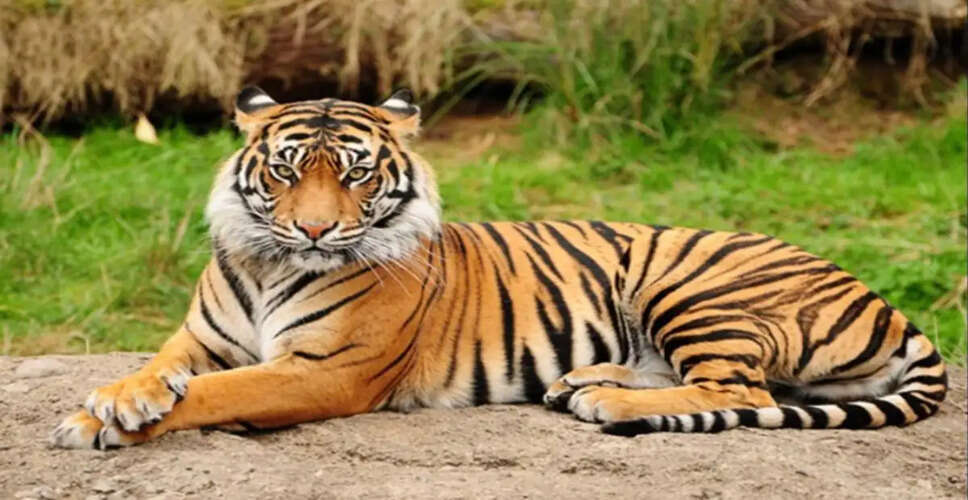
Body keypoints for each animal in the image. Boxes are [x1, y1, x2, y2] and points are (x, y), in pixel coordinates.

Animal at [51, 87, 947, 449]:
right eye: (285, 170)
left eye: (356, 174)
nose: (313, 229)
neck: (272, 264)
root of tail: (888, 303)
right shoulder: (202, 337)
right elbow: (159, 369)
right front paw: (110, 402)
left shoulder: (325, 370)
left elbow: (217, 394)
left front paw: (105, 421)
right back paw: (585, 382)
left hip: (688, 282)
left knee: (742, 392)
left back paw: (608, 403)